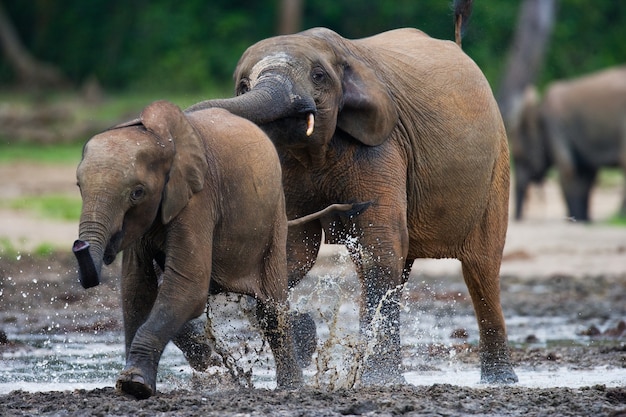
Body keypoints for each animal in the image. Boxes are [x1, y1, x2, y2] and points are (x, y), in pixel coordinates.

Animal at [70, 100, 354, 396]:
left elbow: (188, 285)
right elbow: (137, 289)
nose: (80, 245)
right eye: (79, 186)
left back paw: (290, 387)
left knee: (271, 309)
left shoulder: (199, 199)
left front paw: (135, 385)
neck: (164, 139)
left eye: (137, 193)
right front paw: (130, 382)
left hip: (275, 214)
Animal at [186, 0, 516, 386]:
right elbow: (293, 251)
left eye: (318, 76)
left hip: (497, 165)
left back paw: (500, 380)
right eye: (241, 85)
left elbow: (378, 245)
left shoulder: (383, 144)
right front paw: (305, 338)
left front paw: (380, 381)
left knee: (481, 268)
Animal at [508, 66, 624, 221]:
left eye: (520, 157)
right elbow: (586, 175)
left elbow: (568, 169)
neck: (538, 111)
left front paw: (577, 219)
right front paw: (583, 219)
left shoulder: (555, 128)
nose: (518, 219)